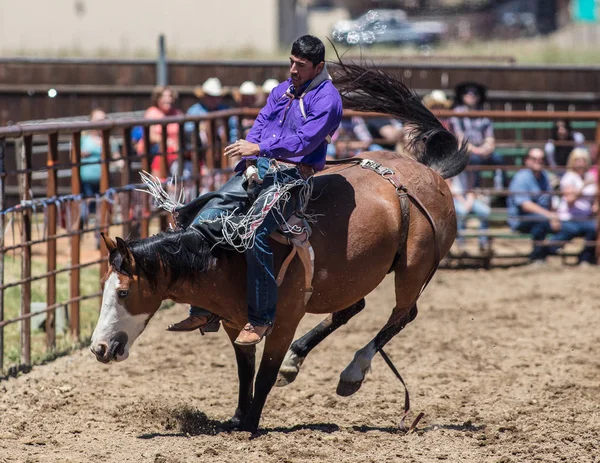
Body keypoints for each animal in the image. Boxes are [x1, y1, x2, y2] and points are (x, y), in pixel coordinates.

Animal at [90, 59, 468, 436]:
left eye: (123, 293)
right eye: (103, 288)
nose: (99, 348)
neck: (223, 257)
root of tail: (429, 172)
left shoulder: (283, 320)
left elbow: (264, 374)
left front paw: (251, 423)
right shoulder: (235, 322)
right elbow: (245, 371)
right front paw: (238, 418)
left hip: (413, 268)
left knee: (402, 314)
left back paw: (352, 372)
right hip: (351, 276)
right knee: (352, 308)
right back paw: (296, 360)